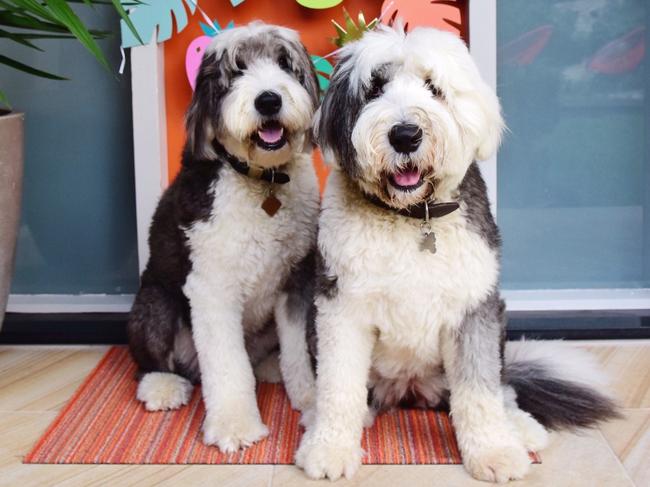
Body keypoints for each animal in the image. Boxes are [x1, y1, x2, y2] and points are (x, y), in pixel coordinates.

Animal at [125, 21, 318, 452]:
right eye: (237, 69)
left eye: (285, 63)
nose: (268, 100)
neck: (262, 181)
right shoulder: (212, 287)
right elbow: (228, 366)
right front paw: (235, 425)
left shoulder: (296, 278)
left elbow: (299, 349)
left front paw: (311, 398)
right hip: (154, 303)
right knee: (149, 362)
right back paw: (163, 387)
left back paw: (269, 366)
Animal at [294, 24, 616, 482]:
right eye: (375, 88)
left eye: (434, 88)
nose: (405, 134)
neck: (413, 217)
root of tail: (410, 387)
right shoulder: (341, 308)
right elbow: (339, 384)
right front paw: (330, 448)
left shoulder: (473, 307)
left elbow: (479, 388)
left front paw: (493, 452)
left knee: (501, 387)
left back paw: (518, 426)